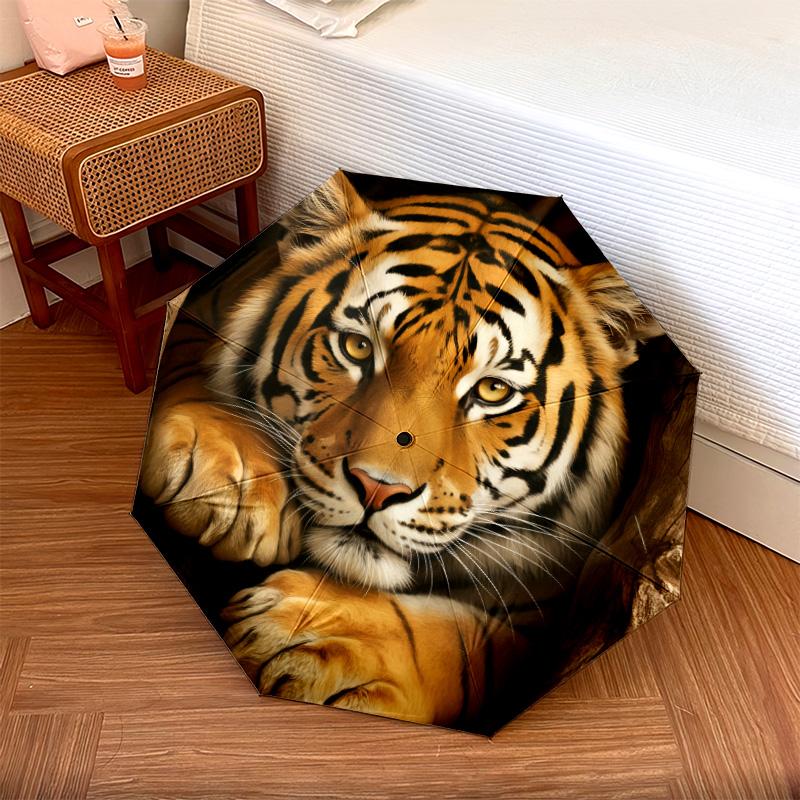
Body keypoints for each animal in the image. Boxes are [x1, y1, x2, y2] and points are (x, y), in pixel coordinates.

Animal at [139, 171, 662, 731]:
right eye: (358, 347)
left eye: (492, 391)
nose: (376, 489)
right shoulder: (205, 305)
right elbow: (182, 353)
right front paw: (232, 479)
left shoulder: (540, 622)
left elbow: (468, 645)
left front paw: (312, 635)